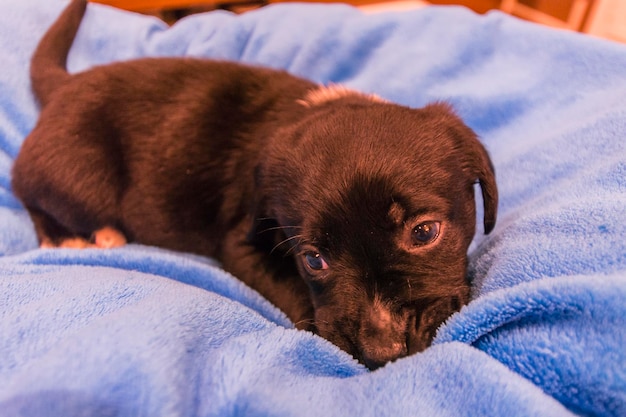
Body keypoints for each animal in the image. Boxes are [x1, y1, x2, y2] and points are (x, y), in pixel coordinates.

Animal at [11, 0, 498, 370]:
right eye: (313, 260)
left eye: (424, 232)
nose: (383, 352)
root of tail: (64, 87)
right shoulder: (240, 242)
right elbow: (289, 287)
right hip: (80, 176)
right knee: (31, 194)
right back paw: (74, 238)